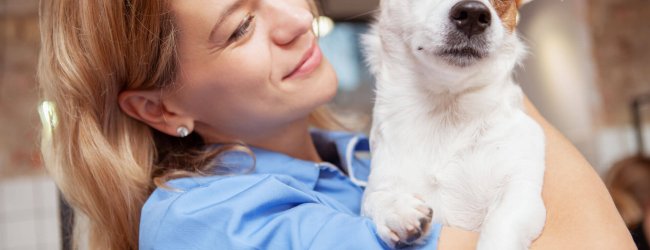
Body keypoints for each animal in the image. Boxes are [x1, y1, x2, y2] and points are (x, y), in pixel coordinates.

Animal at [362, 0, 544, 249]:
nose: (473, 13)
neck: (446, 108)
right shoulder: (381, 181)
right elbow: (373, 198)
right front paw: (396, 210)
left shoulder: (521, 193)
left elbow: (500, 225)